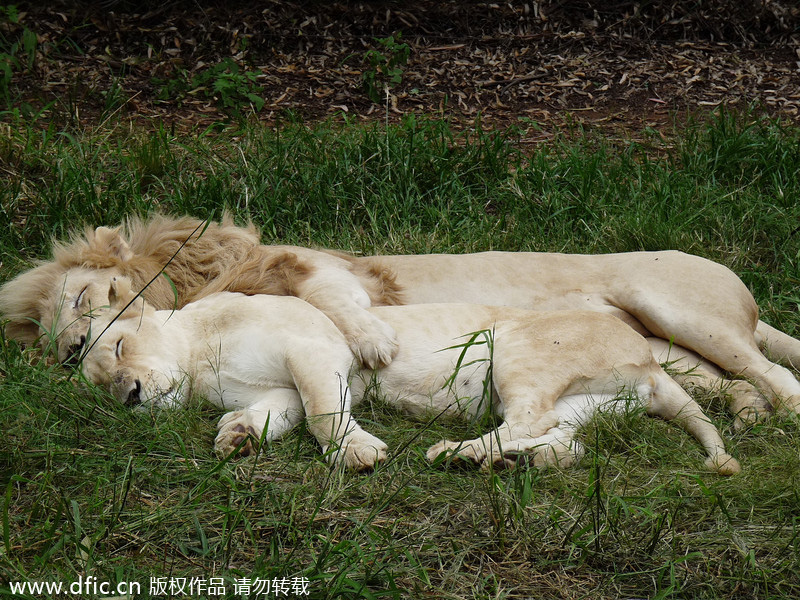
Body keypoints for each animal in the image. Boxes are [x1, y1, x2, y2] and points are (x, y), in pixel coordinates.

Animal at [0, 214, 796, 422]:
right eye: (64, 349)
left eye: (86, 297)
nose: (74, 346)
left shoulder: (328, 268)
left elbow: (332, 296)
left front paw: (375, 342)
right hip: (667, 344)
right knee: (729, 381)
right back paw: (744, 411)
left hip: (675, 306)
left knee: (777, 378)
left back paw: (769, 411)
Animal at [78, 278, 740, 476]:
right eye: (103, 386)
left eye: (119, 346)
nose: (130, 395)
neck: (196, 358)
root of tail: (650, 364)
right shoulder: (277, 389)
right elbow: (276, 414)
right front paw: (236, 437)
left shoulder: (313, 346)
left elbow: (323, 412)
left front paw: (358, 454)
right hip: (590, 404)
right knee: (562, 441)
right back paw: (497, 462)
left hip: (513, 346)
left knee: (529, 418)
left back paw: (452, 453)